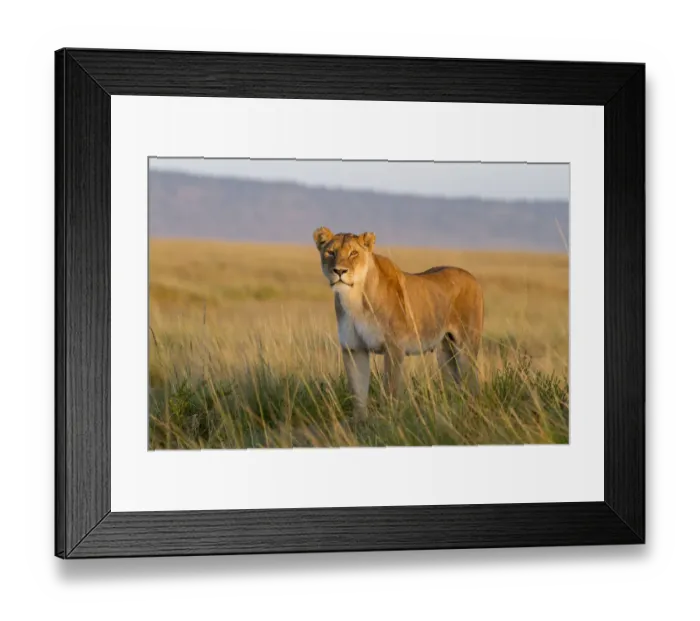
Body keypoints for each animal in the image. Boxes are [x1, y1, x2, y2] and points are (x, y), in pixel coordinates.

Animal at [313, 227, 484, 418]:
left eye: (353, 253)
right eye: (330, 252)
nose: (339, 271)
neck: (354, 298)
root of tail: (473, 278)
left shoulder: (394, 347)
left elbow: (391, 388)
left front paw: (389, 417)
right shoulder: (354, 348)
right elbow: (358, 392)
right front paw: (359, 421)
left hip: (466, 347)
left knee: (472, 382)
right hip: (444, 352)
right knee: (453, 383)